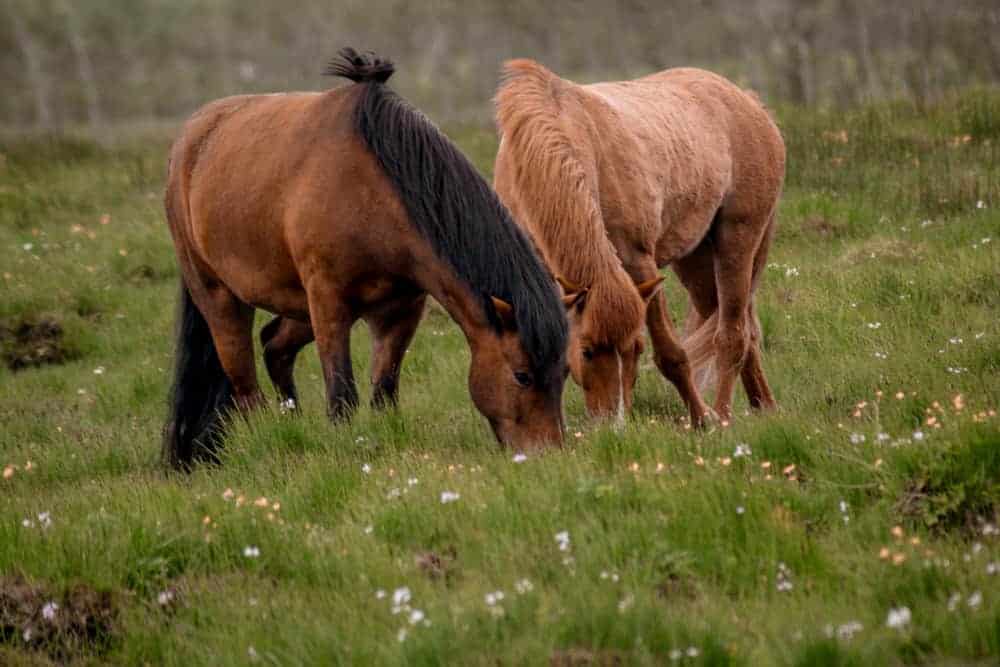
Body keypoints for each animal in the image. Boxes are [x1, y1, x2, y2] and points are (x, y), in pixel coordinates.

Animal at [164, 48, 572, 470]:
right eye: (522, 375)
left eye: (565, 372)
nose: (547, 454)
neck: (372, 192)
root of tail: (190, 140)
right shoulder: (329, 303)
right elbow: (342, 394)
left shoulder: (401, 309)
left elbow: (384, 391)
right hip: (222, 299)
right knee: (246, 387)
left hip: (297, 308)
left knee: (274, 347)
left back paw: (291, 424)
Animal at [496, 64, 784, 428]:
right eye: (587, 350)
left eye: (636, 348)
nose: (613, 426)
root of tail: (750, 104)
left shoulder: (638, 263)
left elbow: (672, 355)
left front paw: (701, 420)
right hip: (696, 261)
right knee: (733, 324)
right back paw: (764, 405)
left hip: (738, 239)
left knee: (732, 334)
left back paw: (721, 414)